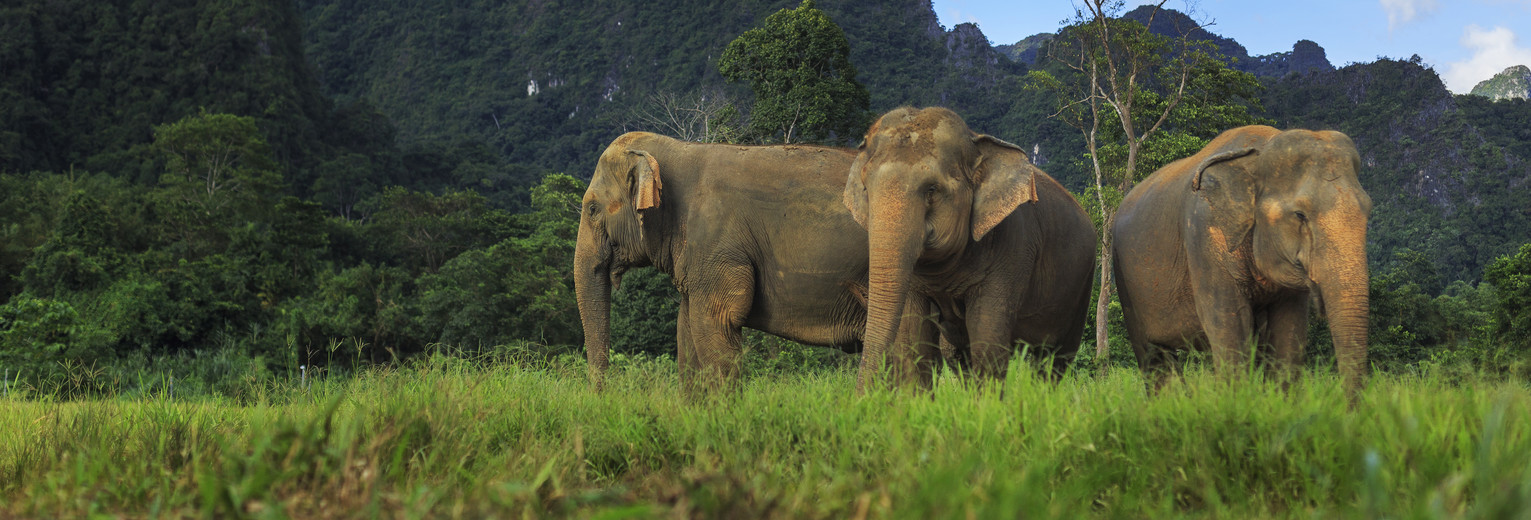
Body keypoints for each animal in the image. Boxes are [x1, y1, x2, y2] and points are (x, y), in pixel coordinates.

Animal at [575, 130, 924, 394]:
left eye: (591, 208)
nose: (602, 395)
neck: (680, 149)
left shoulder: (717, 244)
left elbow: (716, 322)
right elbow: (686, 330)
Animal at [851, 106, 1102, 390]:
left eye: (932, 190)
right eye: (866, 189)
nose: (861, 397)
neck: (976, 141)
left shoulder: (1012, 246)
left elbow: (986, 336)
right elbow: (914, 342)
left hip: (1082, 284)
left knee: (1054, 358)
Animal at [1114, 124, 1377, 394]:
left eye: (1369, 211)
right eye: (1300, 215)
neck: (1260, 152)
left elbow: (1289, 329)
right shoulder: (1203, 234)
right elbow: (1229, 324)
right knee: (1153, 356)